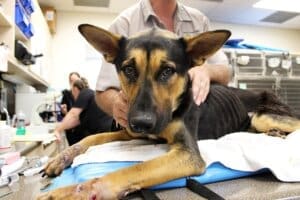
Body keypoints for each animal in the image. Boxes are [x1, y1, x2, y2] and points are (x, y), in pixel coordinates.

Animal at [37, 24, 300, 199]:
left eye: (167, 71)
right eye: (128, 69)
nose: (141, 123)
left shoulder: (188, 154)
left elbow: (132, 169)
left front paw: (79, 190)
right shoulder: (130, 133)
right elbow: (92, 138)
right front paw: (61, 158)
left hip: (263, 115)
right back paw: (274, 134)